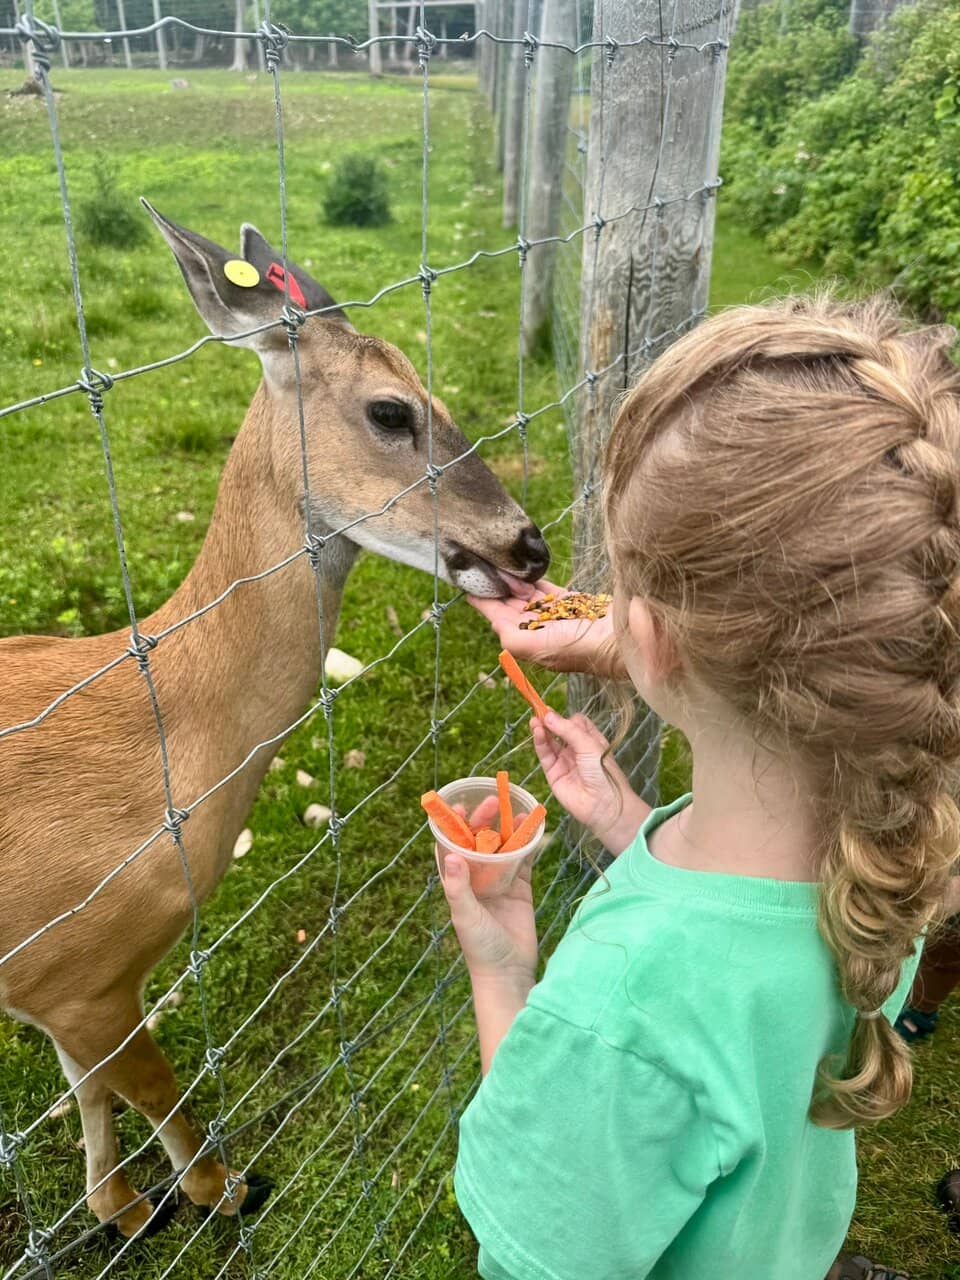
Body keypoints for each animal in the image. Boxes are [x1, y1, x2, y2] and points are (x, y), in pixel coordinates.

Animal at [0, 202, 549, 1242]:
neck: (165, 746)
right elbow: (150, 1086)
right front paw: (219, 1189)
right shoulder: (72, 969)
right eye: (391, 410)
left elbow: (87, 1087)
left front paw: (121, 1207)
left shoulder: (67, 987)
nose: (528, 545)